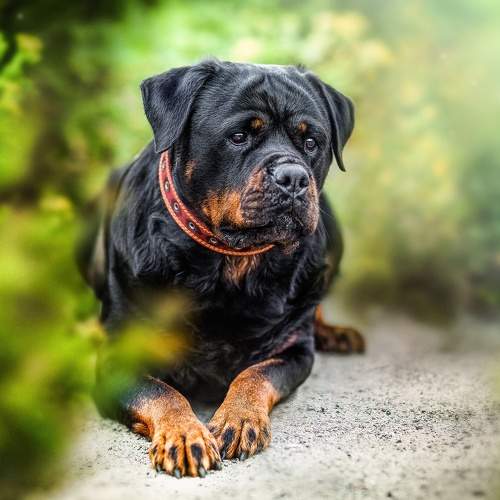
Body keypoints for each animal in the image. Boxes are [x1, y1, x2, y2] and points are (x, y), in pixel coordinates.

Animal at [79, 60, 365, 478]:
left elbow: (255, 375)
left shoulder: (294, 352)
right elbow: (163, 393)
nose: (294, 177)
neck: (231, 265)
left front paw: (239, 418)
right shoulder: (118, 361)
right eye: (239, 136)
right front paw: (184, 434)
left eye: (312, 142)